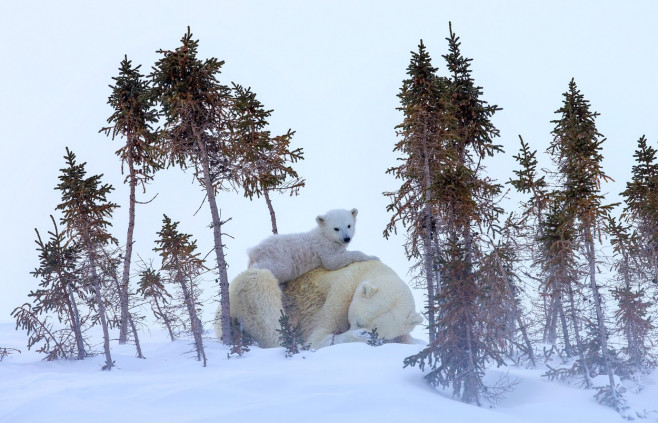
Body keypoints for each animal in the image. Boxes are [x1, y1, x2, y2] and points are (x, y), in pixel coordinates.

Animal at [213, 262, 422, 348]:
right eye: (358, 321)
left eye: (380, 331)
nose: (365, 334)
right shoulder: (341, 291)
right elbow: (319, 336)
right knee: (259, 282)